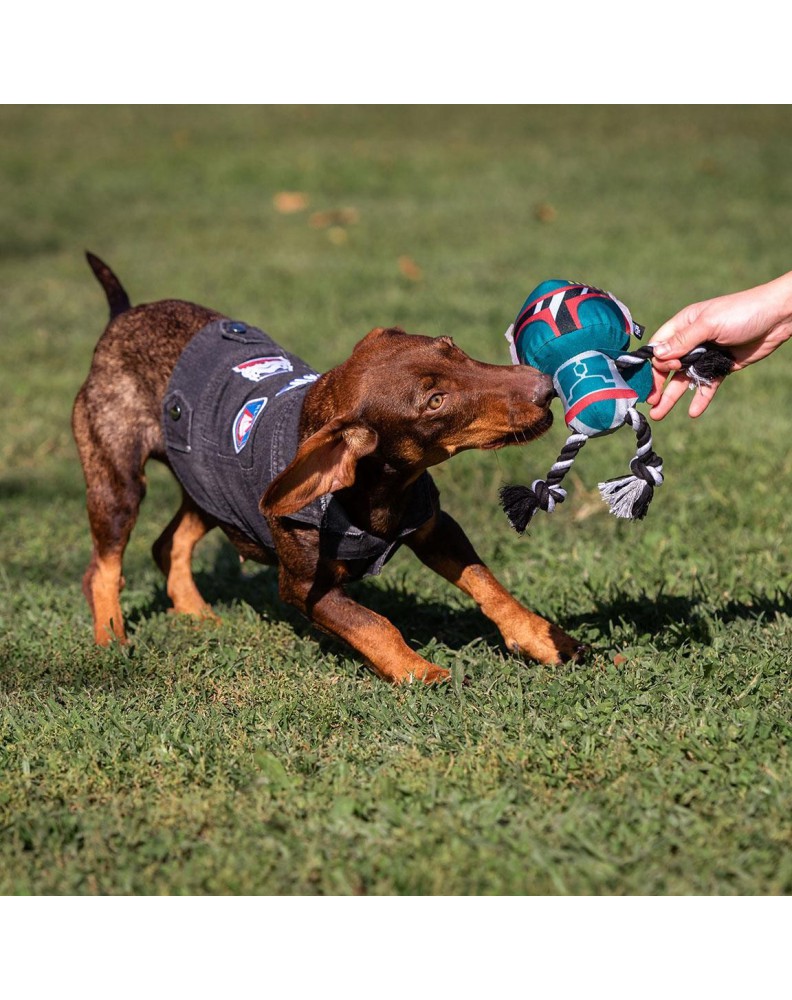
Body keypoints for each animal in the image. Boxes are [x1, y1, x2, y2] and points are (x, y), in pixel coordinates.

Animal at [74, 254, 580, 684]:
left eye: (452, 347)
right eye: (435, 402)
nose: (545, 387)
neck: (378, 492)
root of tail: (121, 316)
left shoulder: (434, 526)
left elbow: (489, 585)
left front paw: (544, 639)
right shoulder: (303, 587)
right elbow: (374, 624)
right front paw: (419, 671)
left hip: (209, 485)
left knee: (168, 543)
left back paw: (196, 613)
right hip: (118, 479)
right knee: (103, 567)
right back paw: (111, 639)